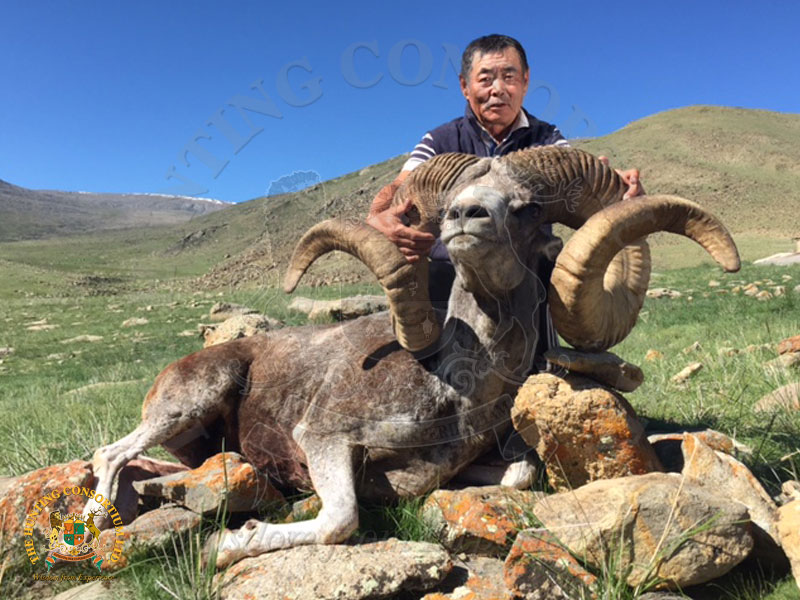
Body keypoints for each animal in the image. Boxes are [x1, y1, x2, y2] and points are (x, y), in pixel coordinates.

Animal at [84, 146, 740, 568]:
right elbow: (342, 520)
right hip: (191, 400)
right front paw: (229, 545)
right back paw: (95, 524)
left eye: (527, 206)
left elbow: (520, 474)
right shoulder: (323, 437)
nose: (464, 216)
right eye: (451, 196)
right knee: (110, 454)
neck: (456, 384)